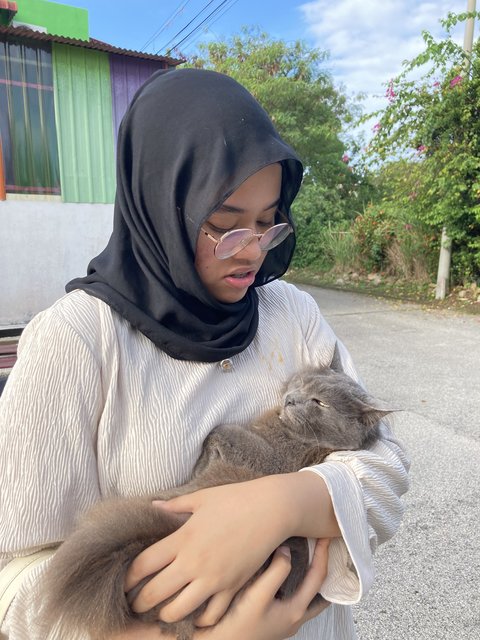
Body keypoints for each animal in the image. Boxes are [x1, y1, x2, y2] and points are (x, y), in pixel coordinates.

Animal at [43, 368, 392, 636]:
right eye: (301, 383)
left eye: (319, 402)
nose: (291, 398)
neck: (294, 434)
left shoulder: (268, 459)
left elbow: (220, 429)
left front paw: (202, 460)